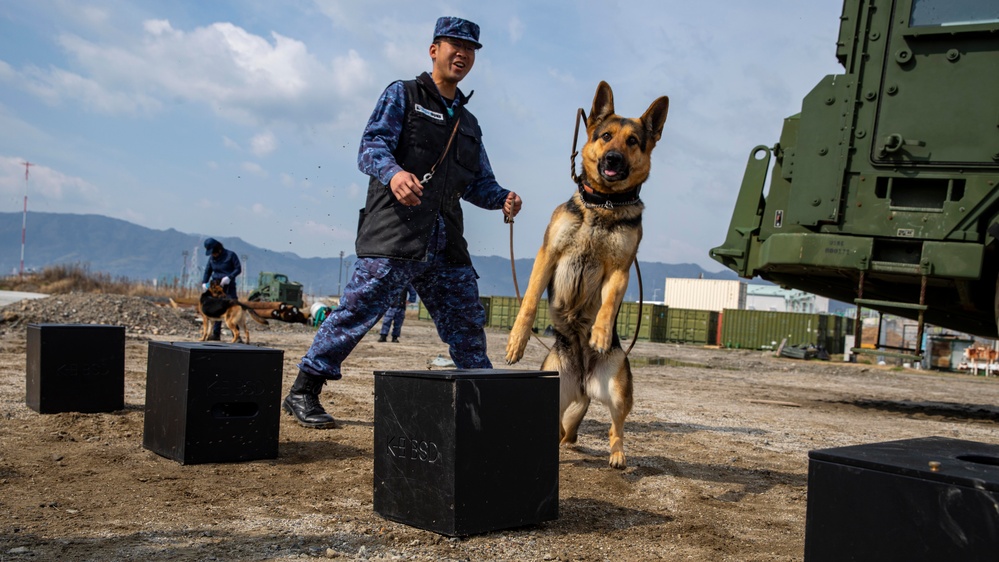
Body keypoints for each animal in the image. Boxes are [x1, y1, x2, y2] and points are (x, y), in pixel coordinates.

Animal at [508, 82, 672, 468]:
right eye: (606, 136)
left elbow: (608, 304)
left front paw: (599, 332)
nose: (613, 159)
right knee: (558, 430)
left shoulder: (620, 268)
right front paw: (517, 341)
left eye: (633, 142)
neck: (605, 205)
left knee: (616, 427)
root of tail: (583, 383)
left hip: (618, 390)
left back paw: (617, 455)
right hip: (555, 391)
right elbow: (529, 301)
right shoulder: (548, 254)